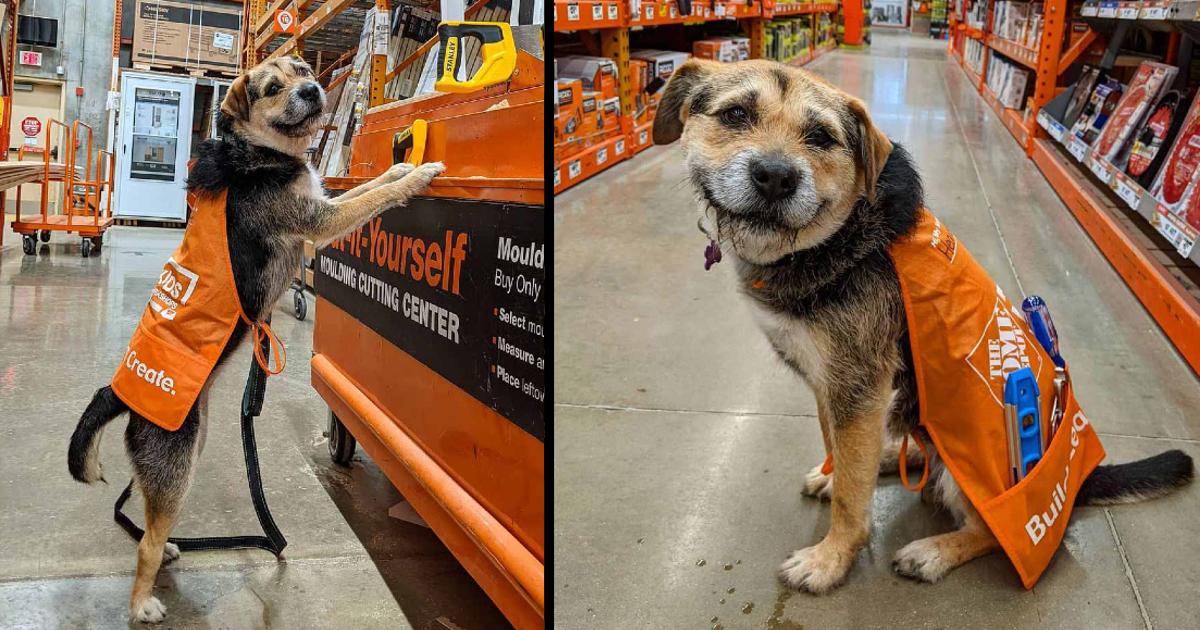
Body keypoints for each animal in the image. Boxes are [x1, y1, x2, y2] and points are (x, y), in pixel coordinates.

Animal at [64, 56, 446, 619]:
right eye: (270, 89)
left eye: (305, 70)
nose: (312, 91)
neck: (259, 155)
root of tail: (117, 392)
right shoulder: (319, 222)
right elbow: (372, 197)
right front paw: (418, 175)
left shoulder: (319, 203)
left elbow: (365, 186)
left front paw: (398, 167)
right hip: (177, 463)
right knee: (145, 546)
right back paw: (142, 604)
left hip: (189, 448)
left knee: (149, 524)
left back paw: (169, 548)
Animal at [652, 56, 1195, 592]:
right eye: (735, 115)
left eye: (821, 137)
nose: (775, 177)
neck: (836, 240)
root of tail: (1078, 481)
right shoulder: (834, 387)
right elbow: (839, 453)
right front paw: (835, 476)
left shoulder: (858, 387)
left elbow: (852, 496)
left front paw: (831, 559)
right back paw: (892, 456)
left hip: (983, 474)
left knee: (989, 531)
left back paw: (933, 551)